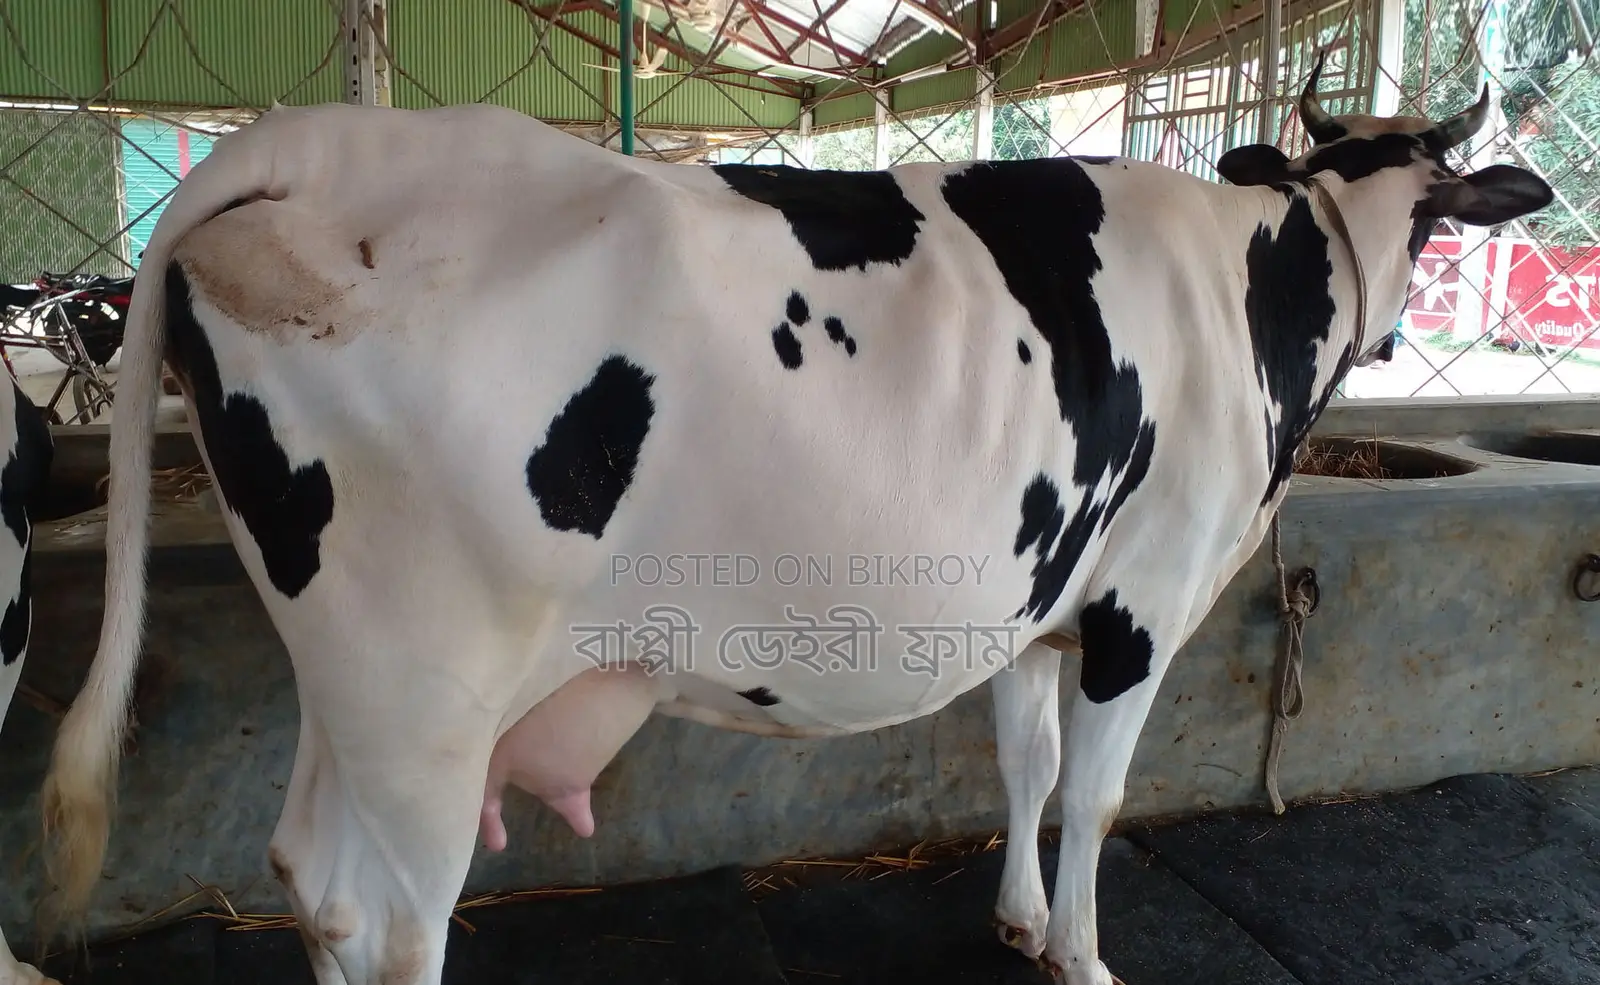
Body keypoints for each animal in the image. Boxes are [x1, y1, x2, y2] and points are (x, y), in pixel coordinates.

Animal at [32, 54, 1550, 985]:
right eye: (1438, 222)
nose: (1401, 333)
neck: (1250, 285)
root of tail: (316, 141)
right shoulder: (1140, 602)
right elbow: (1097, 794)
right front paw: (1080, 949)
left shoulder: (1036, 597)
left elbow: (1026, 765)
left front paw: (1014, 921)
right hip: (428, 689)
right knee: (400, 916)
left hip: (344, 668)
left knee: (312, 870)